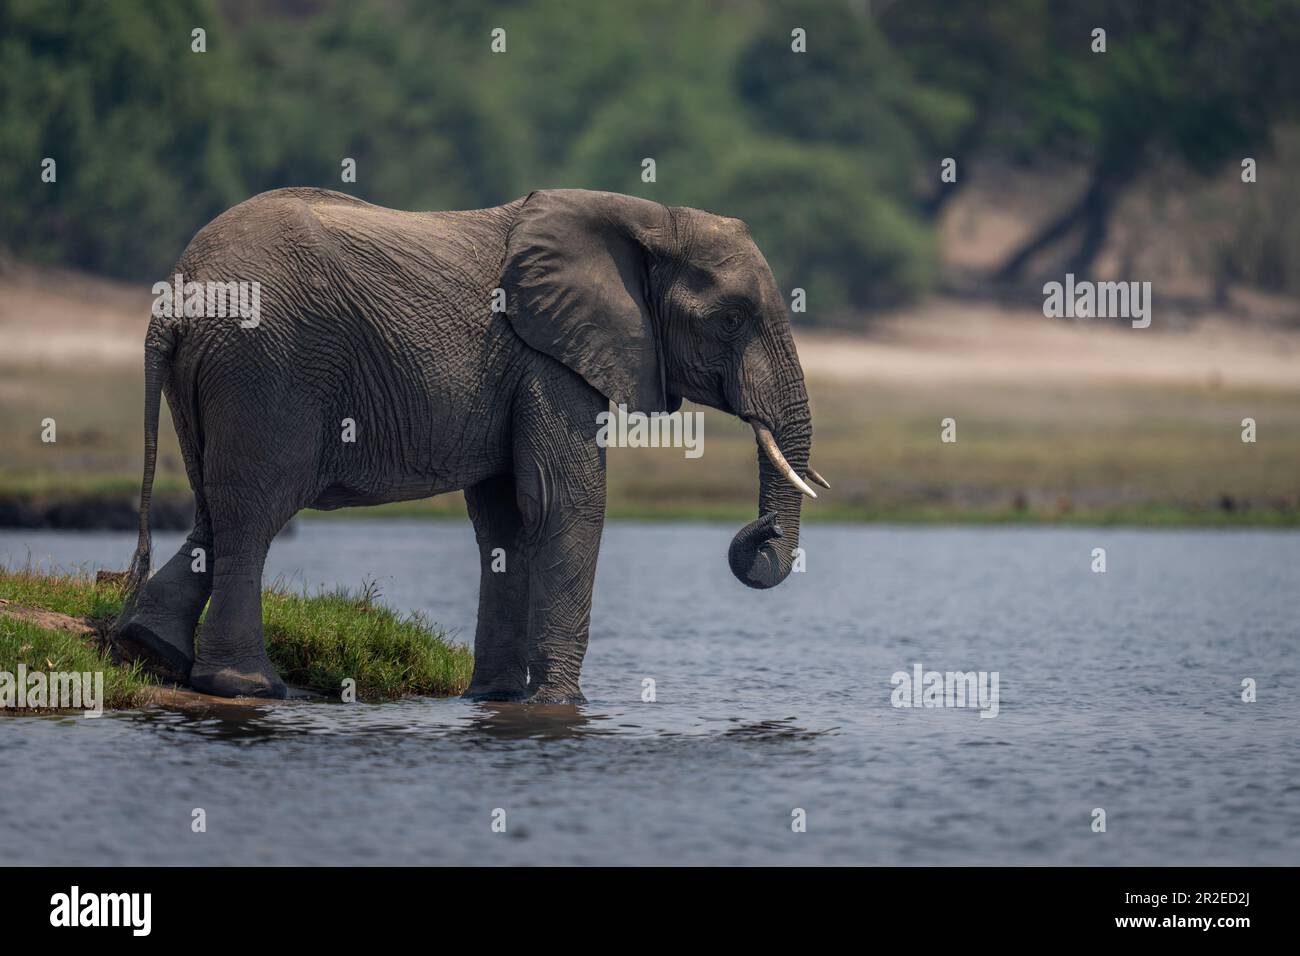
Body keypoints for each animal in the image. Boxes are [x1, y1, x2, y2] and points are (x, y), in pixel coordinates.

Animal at [114, 187, 826, 701]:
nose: (757, 536)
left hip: (218, 376)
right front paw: (561, 706)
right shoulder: (549, 359)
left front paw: (496, 700)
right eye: (730, 320)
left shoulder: (524, 368)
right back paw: (249, 687)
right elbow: (563, 506)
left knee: (216, 506)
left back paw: (153, 650)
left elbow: (507, 520)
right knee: (255, 512)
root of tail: (176, 296)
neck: (651, 217)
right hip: (267, 367)